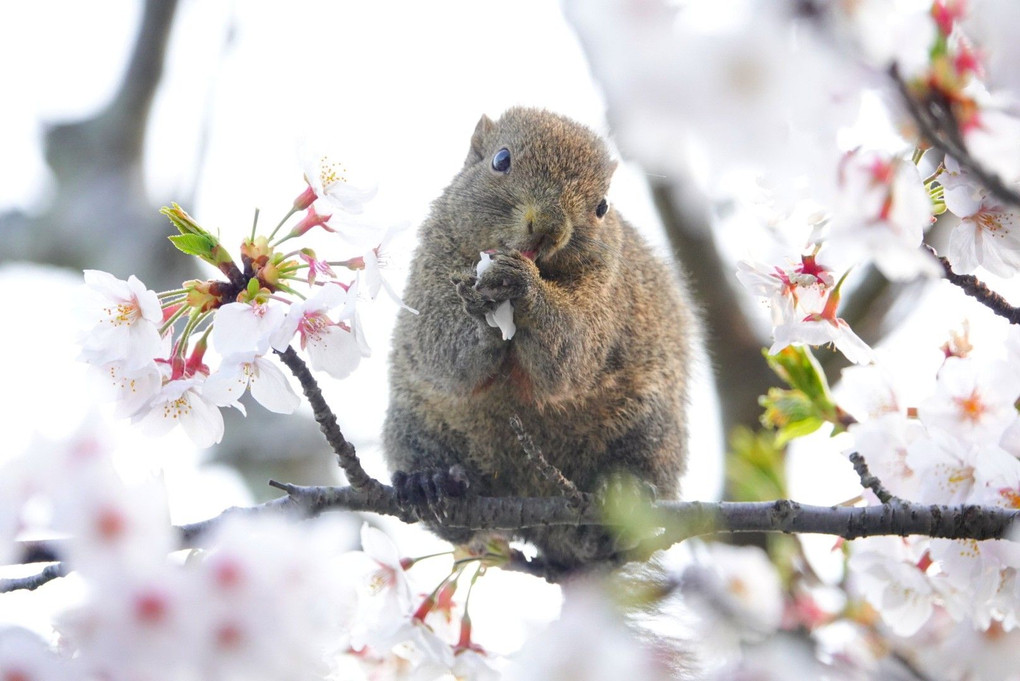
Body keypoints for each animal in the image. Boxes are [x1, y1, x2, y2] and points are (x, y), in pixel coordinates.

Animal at [383, 109, 701, 579]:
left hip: (651, 428)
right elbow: (442, 352)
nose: (549, 228)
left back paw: (620, 493)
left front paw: (524, 287)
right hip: (414, 420)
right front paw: (482, 312)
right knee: (456, 523)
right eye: (500, 159)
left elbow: (569, 356)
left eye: (602, 207)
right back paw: (431, 481)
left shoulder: (604, 299)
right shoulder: (431, 269)